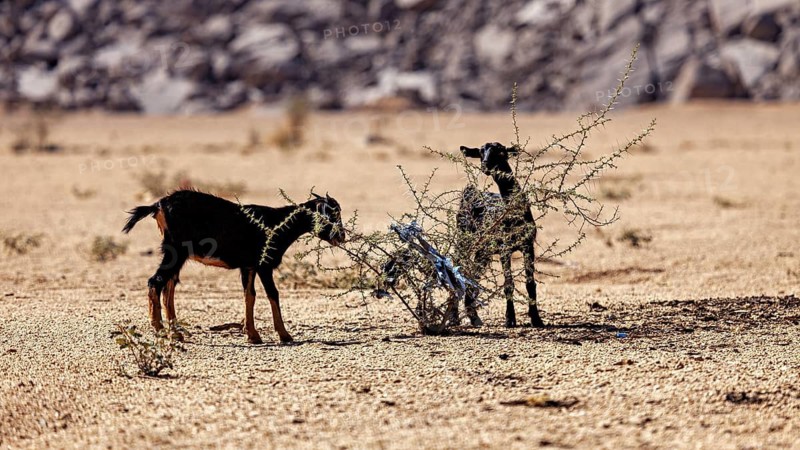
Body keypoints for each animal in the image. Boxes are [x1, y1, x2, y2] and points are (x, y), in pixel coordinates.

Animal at [122, 189, 345, 344]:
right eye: (332, 214)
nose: (342, 236)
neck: (277, 222)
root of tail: (158, 205)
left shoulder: (248, 267)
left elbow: (249, 295)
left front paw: (253, 335)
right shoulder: (263, 265)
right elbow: (272, 294)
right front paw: (284, 335)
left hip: (176, 253)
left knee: (169, 285)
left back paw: (175, 332)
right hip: (175, 250)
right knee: (156, 281)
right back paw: (160, 329)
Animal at [455, 142, 544, 328]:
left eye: (501, 152)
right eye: (480, 152)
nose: (486, 165)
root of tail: (469, 193)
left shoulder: (528, 245)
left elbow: (530, 283)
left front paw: (536, 319)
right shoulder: (505, 248)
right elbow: (508, 284)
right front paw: (510, 319)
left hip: (483, 252)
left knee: (472, 277)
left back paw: (474, 318)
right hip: (463, 241)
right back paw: (454, 318)